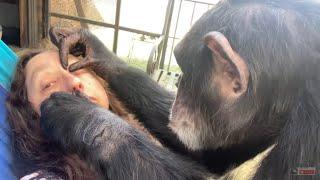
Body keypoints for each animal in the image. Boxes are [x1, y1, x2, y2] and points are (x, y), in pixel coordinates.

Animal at [42, 0, 320, 179]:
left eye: (185, 66)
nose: (178, 82)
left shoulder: (311, 129)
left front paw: (83, 117)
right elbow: (207, 155)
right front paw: (95, 50)